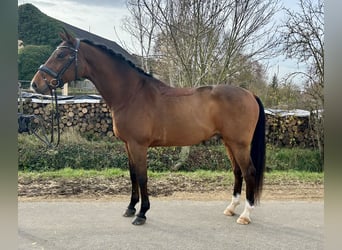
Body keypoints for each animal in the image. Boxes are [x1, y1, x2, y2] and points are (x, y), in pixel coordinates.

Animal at [30, 28, 266, 225]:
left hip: (239, 144)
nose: (35, 84)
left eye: (61, 55)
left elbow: (142, 176)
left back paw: (245, 215)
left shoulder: (139, 145)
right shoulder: (128, 145)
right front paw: (130, 208)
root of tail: (249, 94)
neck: (131, 94)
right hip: (228, 143)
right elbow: (133, 175)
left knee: (249, 172)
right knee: (237, 172)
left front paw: (142, 213)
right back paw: (231, 208)